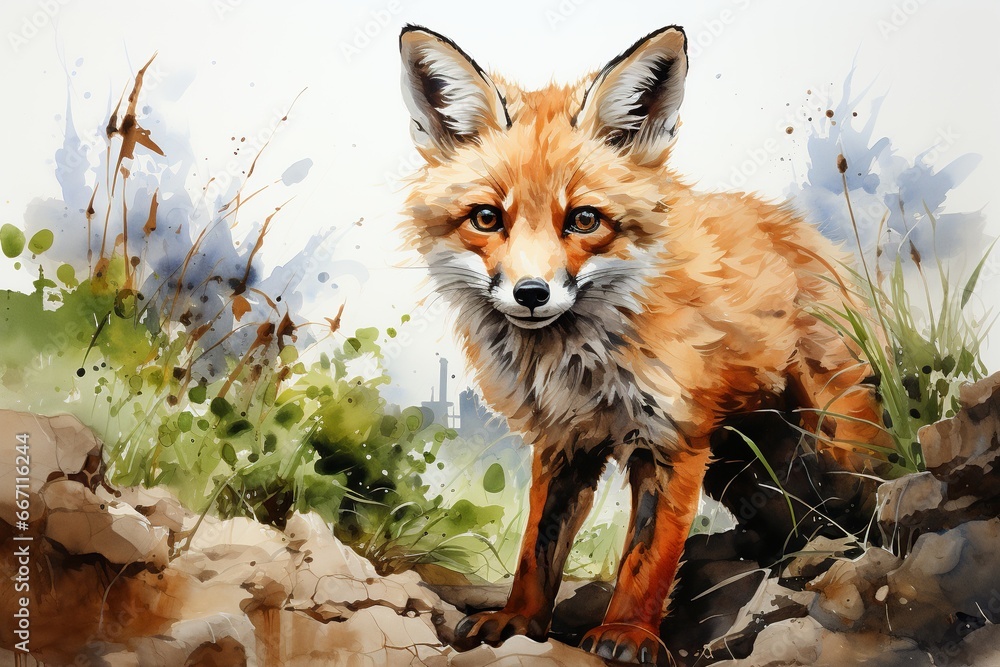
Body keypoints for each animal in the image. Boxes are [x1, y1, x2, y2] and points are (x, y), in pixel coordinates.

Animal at [399, 24, 891, 666]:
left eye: (584, 220)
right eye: (486, 218)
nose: (531, 294)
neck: (578, 361)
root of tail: (808, 235)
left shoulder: (673, 436)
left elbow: (647, 555)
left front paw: (629, 633)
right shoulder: (562, 442)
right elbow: (538, 547)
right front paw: (518, 620)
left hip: (833, 437)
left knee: (868, 495)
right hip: (738, 466)